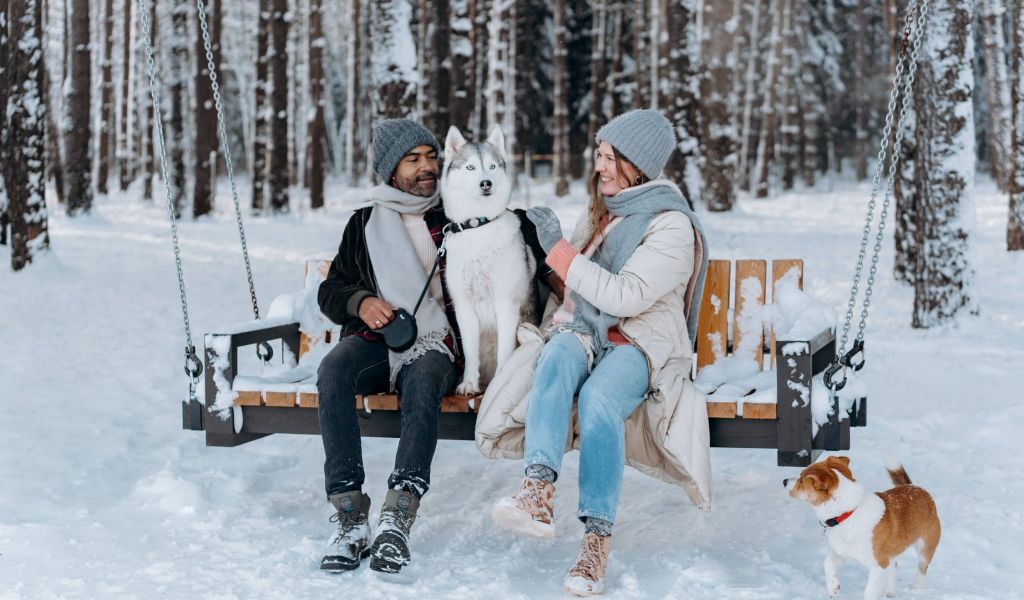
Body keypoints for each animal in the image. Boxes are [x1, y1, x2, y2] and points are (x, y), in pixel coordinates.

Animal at [440, 125, 536, 395]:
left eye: (492, 166)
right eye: (471, 167)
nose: (486, 183)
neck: (478, 227)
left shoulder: (506, 305)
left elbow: (506, 353)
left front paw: (498, 384)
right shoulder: (464, 308)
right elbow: (471, 353)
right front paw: (469, 384)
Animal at [782, 454, 942, 593]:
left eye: (801, 480)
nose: (784, 481)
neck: (849, 513)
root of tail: (916, 487)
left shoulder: (879, 566)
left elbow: (869, 592)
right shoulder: (841, 552)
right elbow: (827, 564)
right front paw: (833, 587)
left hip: (926, 546)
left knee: (922, 566)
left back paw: (918, 586)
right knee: (895, 566)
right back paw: (889, 592)